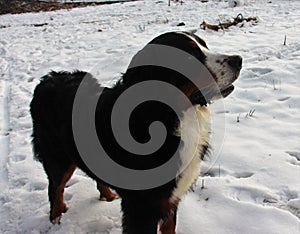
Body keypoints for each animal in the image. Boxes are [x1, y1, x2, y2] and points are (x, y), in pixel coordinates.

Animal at [29, 31, 241, 234]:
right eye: (190, 55)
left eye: (204, 45)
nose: (238, 59)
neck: (171, 118)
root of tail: (48, 79)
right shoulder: (141, 208)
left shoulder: (169, 199)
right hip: (58, 157)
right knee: (55, 187)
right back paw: (56, 217)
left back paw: (108, 195)